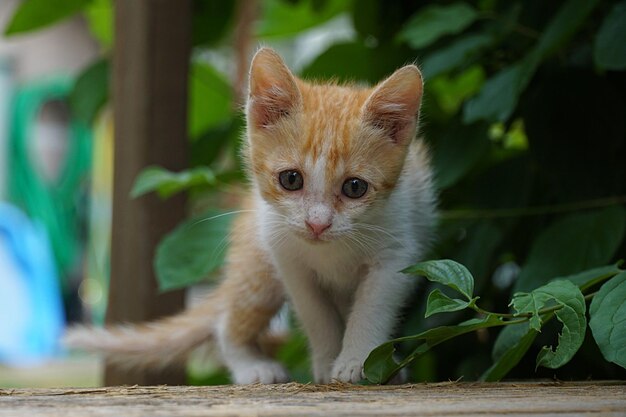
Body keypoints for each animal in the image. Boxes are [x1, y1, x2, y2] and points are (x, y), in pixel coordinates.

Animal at [64, 47, 434, 382]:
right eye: (291, 179)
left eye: (355, 187)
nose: (317, 223)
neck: (329, 250)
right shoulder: (288, 259)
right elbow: (317, 316)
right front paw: (328, 361)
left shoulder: (395, 253)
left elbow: (372, 308)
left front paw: (357, 359)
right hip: (259, 260)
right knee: (225, 322)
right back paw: (251, 367)